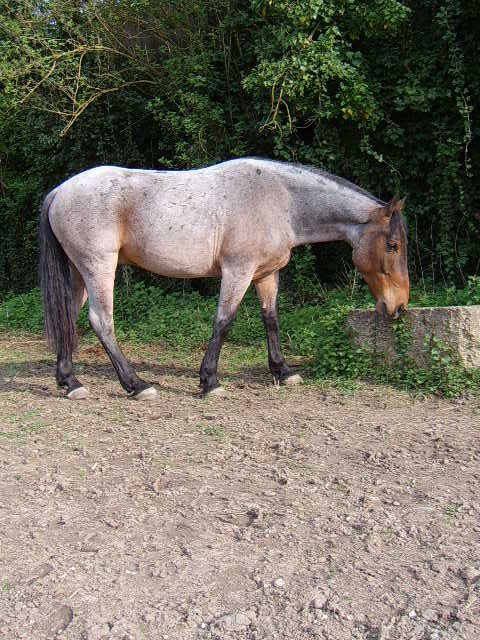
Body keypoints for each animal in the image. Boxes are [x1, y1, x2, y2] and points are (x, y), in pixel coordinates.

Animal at [39, 158, 409, 400]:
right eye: (393, 245)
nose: (400, 306)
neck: (281, 201)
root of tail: (59, 192)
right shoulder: (237, 271)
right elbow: (224, 321)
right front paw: (210, 381)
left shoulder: (266, 274)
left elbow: (271, 319)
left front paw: (283, 371)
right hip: (99, 266)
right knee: (102, 320)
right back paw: (137, 385)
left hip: (79, 272)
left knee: (69, 317)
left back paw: (70, 382)